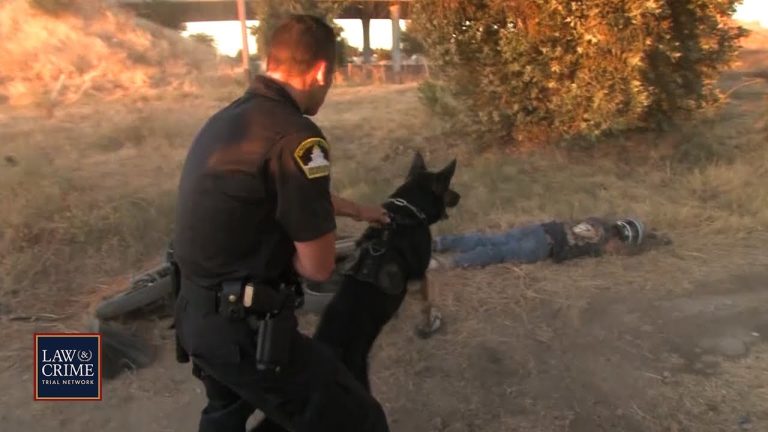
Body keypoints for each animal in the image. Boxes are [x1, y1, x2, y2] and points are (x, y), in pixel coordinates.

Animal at [314, 153, 460, 392]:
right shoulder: (419, 277)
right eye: (448, 187)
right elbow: (426, 304)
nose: (459, 196)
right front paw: (428, 325)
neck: (407, 211)